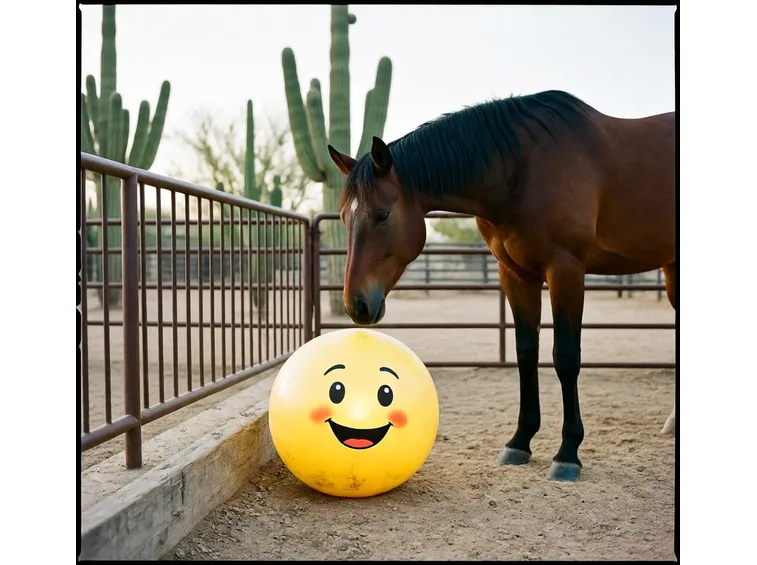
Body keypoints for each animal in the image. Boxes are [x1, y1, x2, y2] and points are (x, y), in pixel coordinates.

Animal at [326, 90, 675, 482]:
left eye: (382, 215)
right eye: (344, 217)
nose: (356, 305)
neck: (522, 169)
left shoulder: (566, 270)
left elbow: (566, 356)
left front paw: (567, 454)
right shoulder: (515, 274)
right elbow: (525, 353)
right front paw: (520, 441)